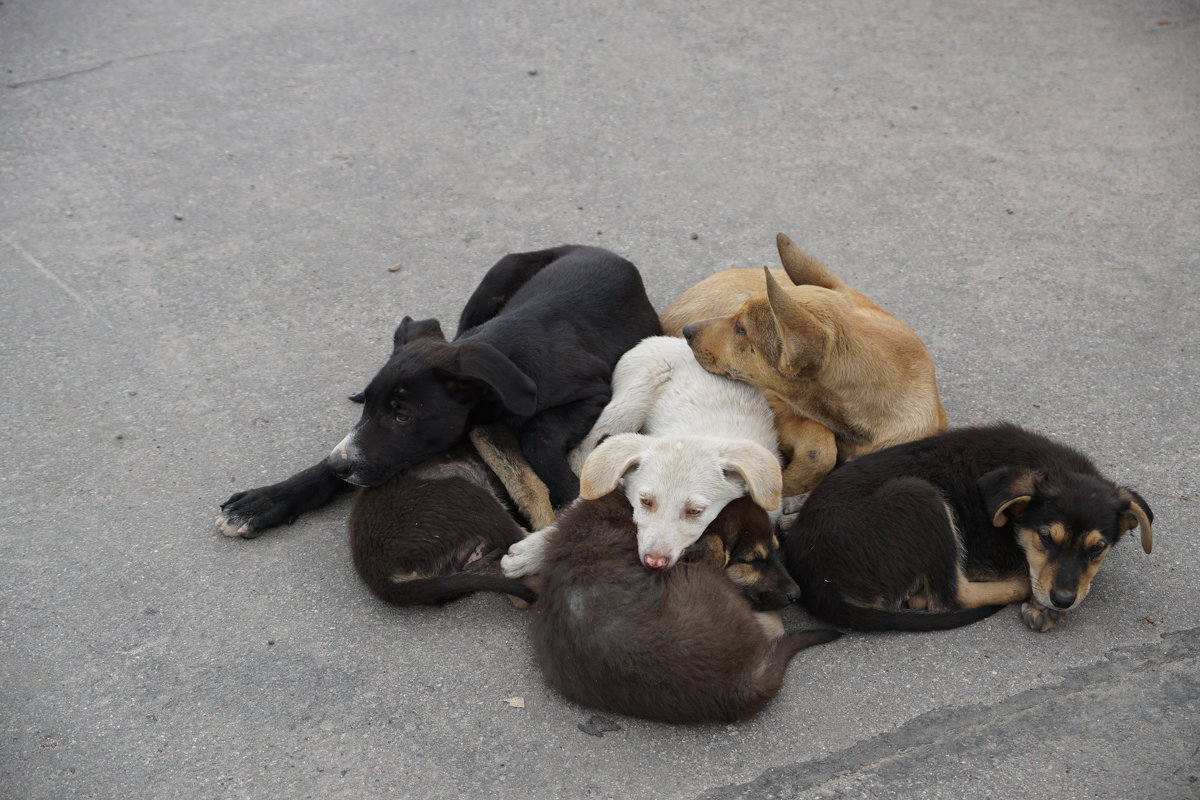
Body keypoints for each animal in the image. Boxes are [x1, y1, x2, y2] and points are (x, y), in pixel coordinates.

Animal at [220, 245, 662, 537]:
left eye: (403, 416)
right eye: (369, 408)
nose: (339, 465)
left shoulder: (592, 392)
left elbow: (539, 434)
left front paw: (566, 491)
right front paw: (264, 502)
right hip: (495, 278)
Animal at [501, 335, 782, 578]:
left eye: (695, 511)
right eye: (645, 501)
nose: (654, 562)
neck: (700, 434)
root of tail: (670, 339)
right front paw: (534, 552)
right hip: (632, 399)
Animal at [782, 422, 1156, 633]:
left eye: (1097, 549)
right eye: (1045, 538)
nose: (1062, 601)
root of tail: (816, 581)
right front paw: (1042, 603)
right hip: (919, 496)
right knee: (951, 596)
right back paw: (1020, 586)